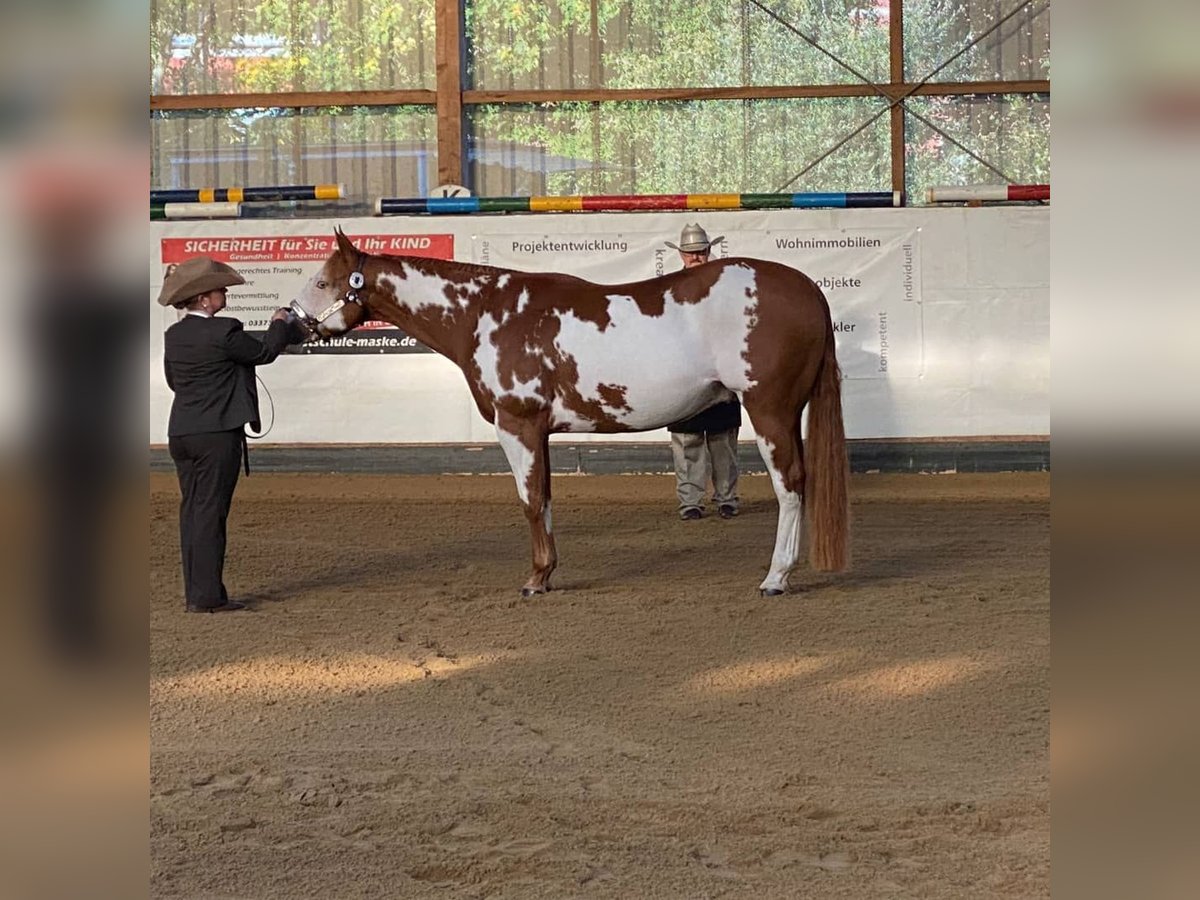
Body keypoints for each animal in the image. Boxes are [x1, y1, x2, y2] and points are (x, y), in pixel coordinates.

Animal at [290, 230, 849, 600]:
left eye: (322, 281)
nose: (284, 321)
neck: (486, 315)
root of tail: (807, 289)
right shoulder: (538, 432)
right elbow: (546, 499)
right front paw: (548, 571)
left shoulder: (516, 425)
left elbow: (530, 501)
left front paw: (536, 579)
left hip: (770, 409)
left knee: (790, 485)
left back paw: (776, 577)